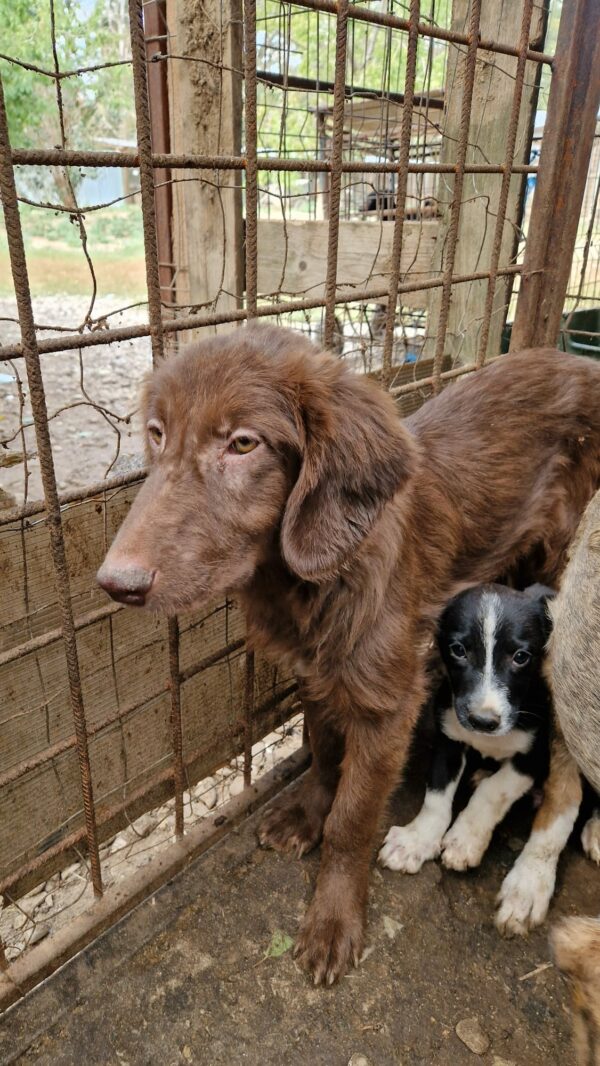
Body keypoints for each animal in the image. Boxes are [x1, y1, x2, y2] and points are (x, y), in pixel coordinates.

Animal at [379, 584, 554, 882]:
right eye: (458, 650)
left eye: (521, 657)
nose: (483, 721)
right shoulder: (448, 737)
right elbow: (436, 794)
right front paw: (416, 840)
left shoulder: (535, 755)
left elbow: (495, 789)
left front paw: (465, 840)